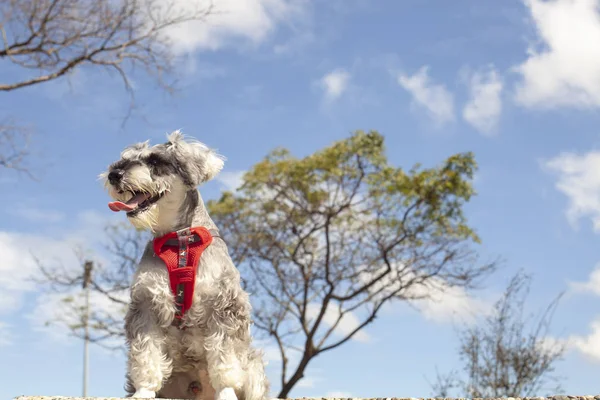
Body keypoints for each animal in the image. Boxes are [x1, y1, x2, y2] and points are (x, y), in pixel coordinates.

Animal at [101, 131, 270, 400]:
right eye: (125, 159)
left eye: (156, 161)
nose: (114, 174)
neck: (179, 240)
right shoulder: (147, 305)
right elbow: (146, 356)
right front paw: (144, 391)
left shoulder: (223, 305)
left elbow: (225, 359)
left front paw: (226, 392)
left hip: (253, 366)